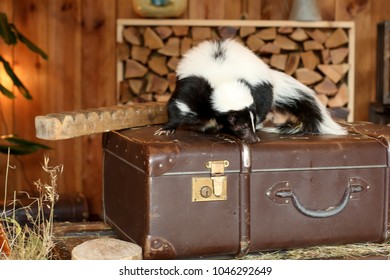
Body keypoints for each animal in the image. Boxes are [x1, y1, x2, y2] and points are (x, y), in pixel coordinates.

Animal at [154, 38, 346, 143]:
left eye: (249, 124)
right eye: (241, 125)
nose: (253, 139)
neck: (223, 78)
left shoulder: (254, 91)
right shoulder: (193, 86)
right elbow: (178, 106)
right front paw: (167, 129)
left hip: (263, 89)